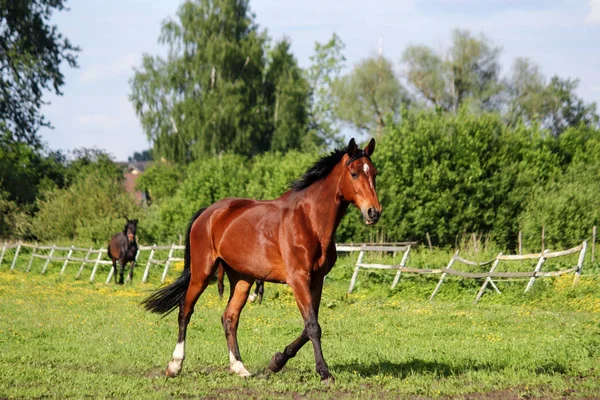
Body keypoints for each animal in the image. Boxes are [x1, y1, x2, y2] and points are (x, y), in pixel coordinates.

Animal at [143, 139, 382, 382]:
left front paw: (276, 362)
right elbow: (313, 326)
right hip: (202, 272)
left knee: (229, 317)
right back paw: (175, 366)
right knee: (185, 310)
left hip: (242, 278)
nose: (374, 212)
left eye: (374, 172)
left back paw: (239, 368)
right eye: (353, 173)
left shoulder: (316, 281)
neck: (309, 221)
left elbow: (309, 326)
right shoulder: (298, 280)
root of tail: (207, 213)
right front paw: (324, 372)